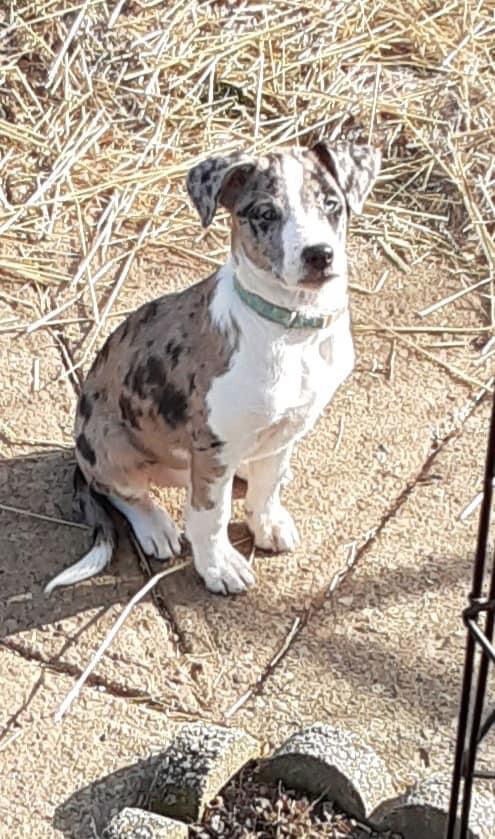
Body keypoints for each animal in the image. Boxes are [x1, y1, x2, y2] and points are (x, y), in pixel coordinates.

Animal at [45, 139, 380, 596]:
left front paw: (267, 522)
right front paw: (218, 566)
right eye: (265, 214)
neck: (290, 331)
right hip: (108, 443)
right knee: (123, 490)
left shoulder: (288, 426)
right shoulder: (213, 447)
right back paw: (155, 526)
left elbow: (267, 484)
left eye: (333, 204)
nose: (319, 255)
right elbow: (210, 515)